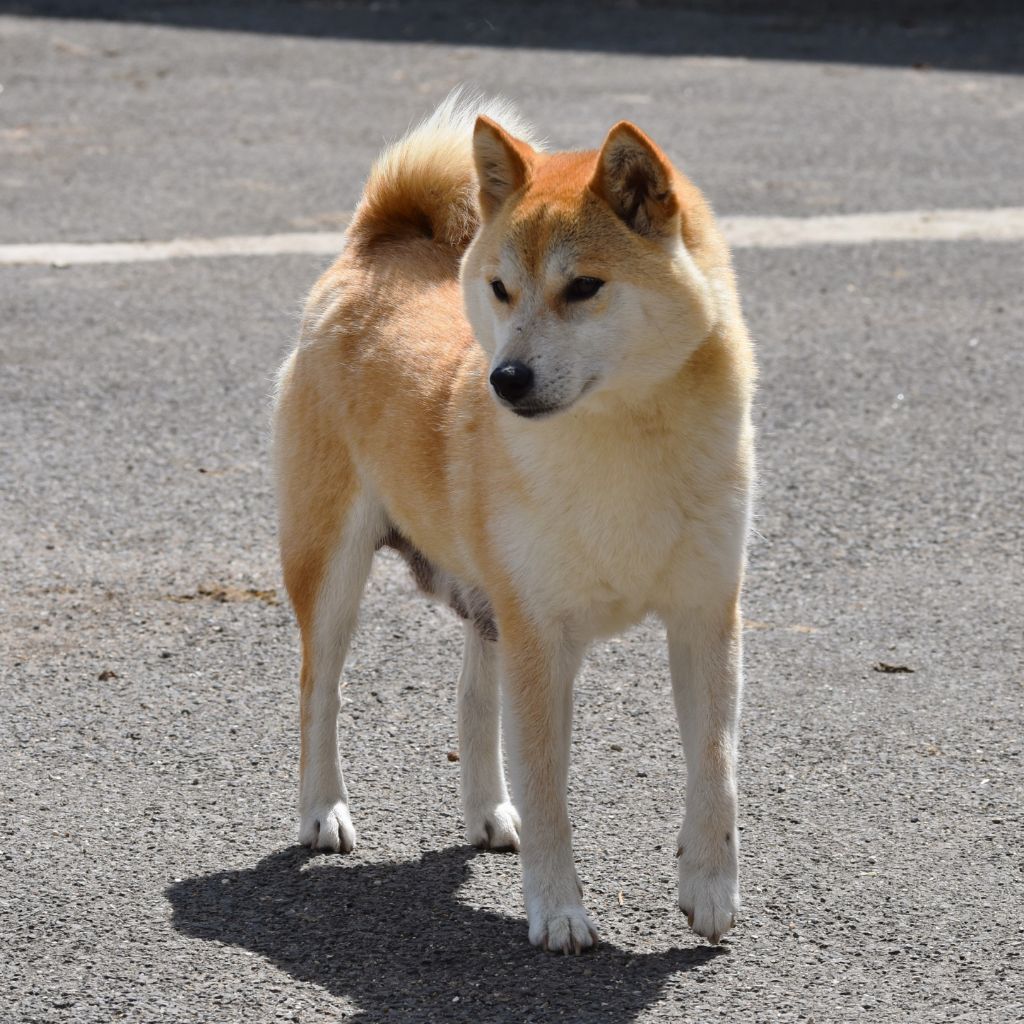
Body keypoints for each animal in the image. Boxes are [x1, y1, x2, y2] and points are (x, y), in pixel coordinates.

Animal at [272, 92, 753, 954]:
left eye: (584, 286)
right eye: (499, 288)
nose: (505, 379)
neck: (625, 439)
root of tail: (371, 250)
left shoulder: (706, 615)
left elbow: (715, 766)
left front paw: (709, 887)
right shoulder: (543, 634)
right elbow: (550, 787)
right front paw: (559, 910)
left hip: (489, 597)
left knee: (471, 699)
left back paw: (488, 814)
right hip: (331, 569)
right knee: (318, 692)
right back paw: (323, 811)